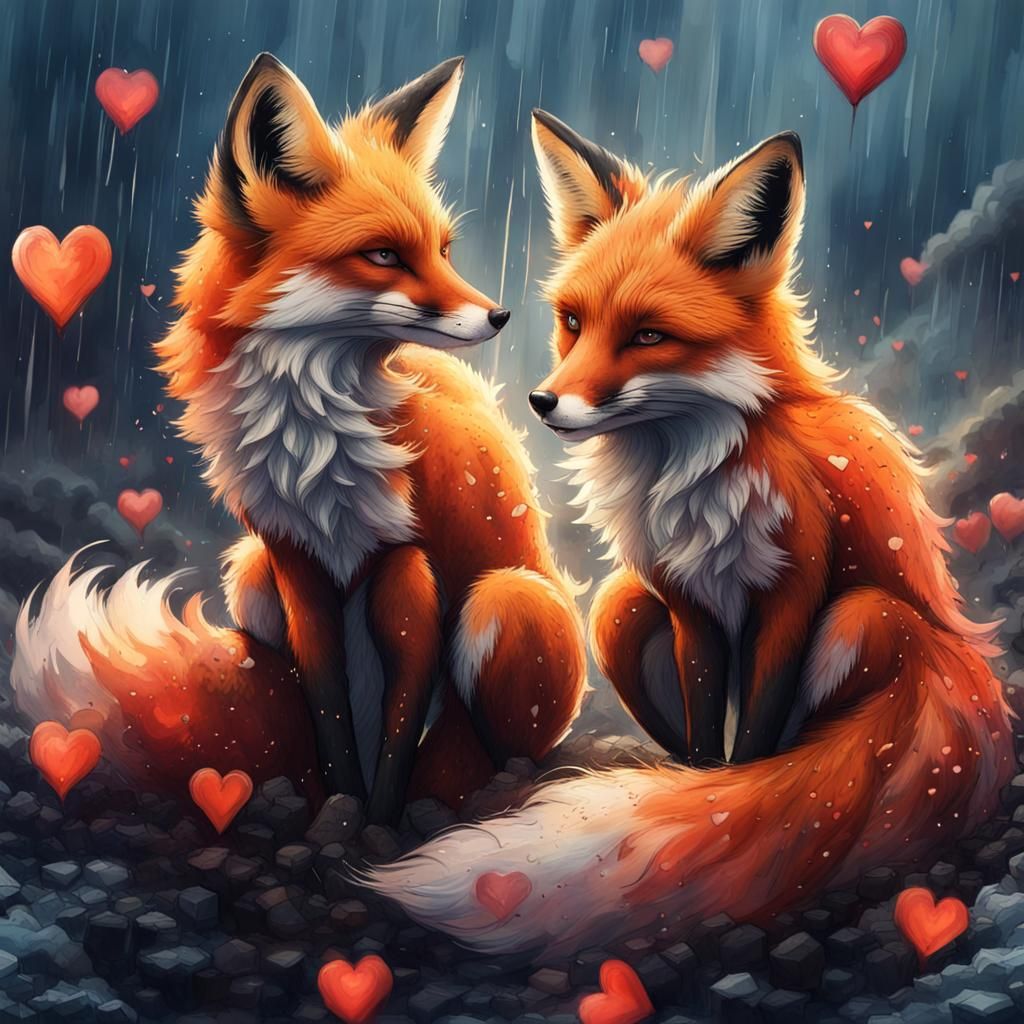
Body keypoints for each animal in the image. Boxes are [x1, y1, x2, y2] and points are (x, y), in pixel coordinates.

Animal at [12, 57, 585, 824]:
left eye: (442, 251)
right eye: (383, 254)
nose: (499, 316)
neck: (313, 438)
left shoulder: (406, 563)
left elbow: (401, 728)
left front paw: (378, 821)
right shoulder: (293, 561)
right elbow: (328, 709)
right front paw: (340, 806)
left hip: (504, 599)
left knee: (499, 751)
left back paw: (480, 795)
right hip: (248, 574)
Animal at [362, 113, 1014, 954]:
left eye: (648, 335)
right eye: (574, 322)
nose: (543, 403)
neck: (695, 477)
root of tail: (982, 696)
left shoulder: (792, 596)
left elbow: (763, 735)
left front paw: (740, 793)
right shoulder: (688, 601)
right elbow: (708, 724)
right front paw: (705, 784)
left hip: (859, 618)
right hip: (619, 610)